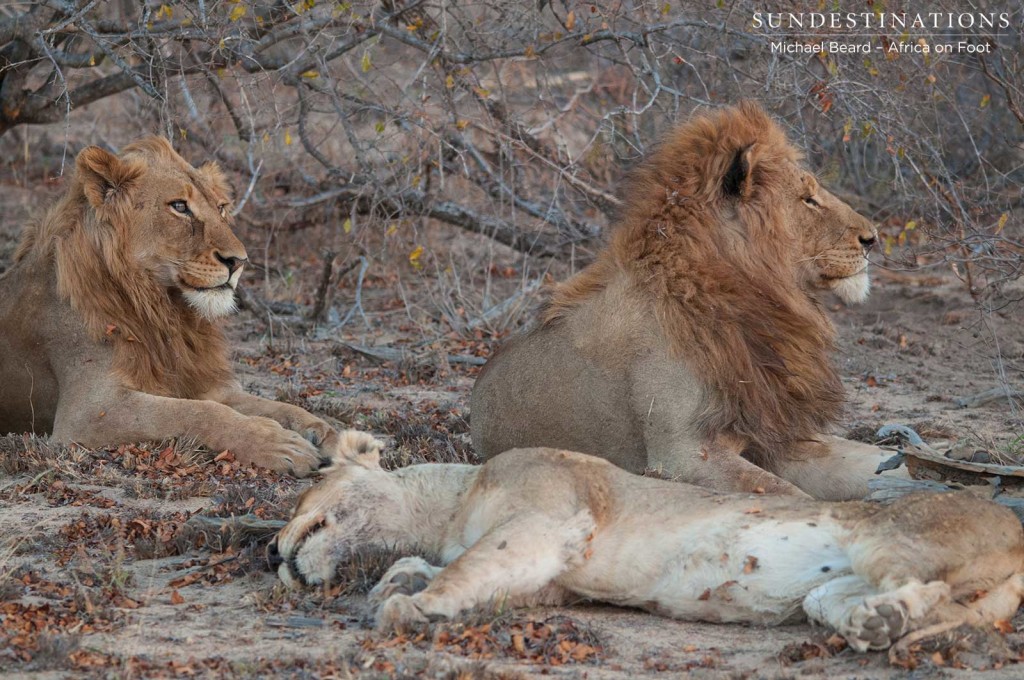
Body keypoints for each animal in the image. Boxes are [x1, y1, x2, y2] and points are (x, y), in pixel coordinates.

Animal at [1, 138, 360, 475]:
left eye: (222, 208)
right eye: (179, 207)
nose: (239, 261)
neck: (166, 311)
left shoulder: (205, 383)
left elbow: (278, 406)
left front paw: (330, 435)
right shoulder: (88, 412)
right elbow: (199, 412)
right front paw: (278, 443)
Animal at [276, 440, 1024, 659]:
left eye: (312, 479)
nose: (271, 551)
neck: (449, 500)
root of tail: (1015, 530)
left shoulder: (547, 520)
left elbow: (464, 565)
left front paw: (408, 608)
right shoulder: (551, 578)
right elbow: (451, 568)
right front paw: (397, 581)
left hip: (886, 533)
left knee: (933, 591)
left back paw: (896, 623)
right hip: (826, 589)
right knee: (895, 605)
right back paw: (879, 626)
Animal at [471, 103, 905, 501]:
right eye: (808, 199)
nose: (872, 238)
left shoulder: (777, 435)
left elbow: (870, 465)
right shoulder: (682, 455)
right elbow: (790, 497)